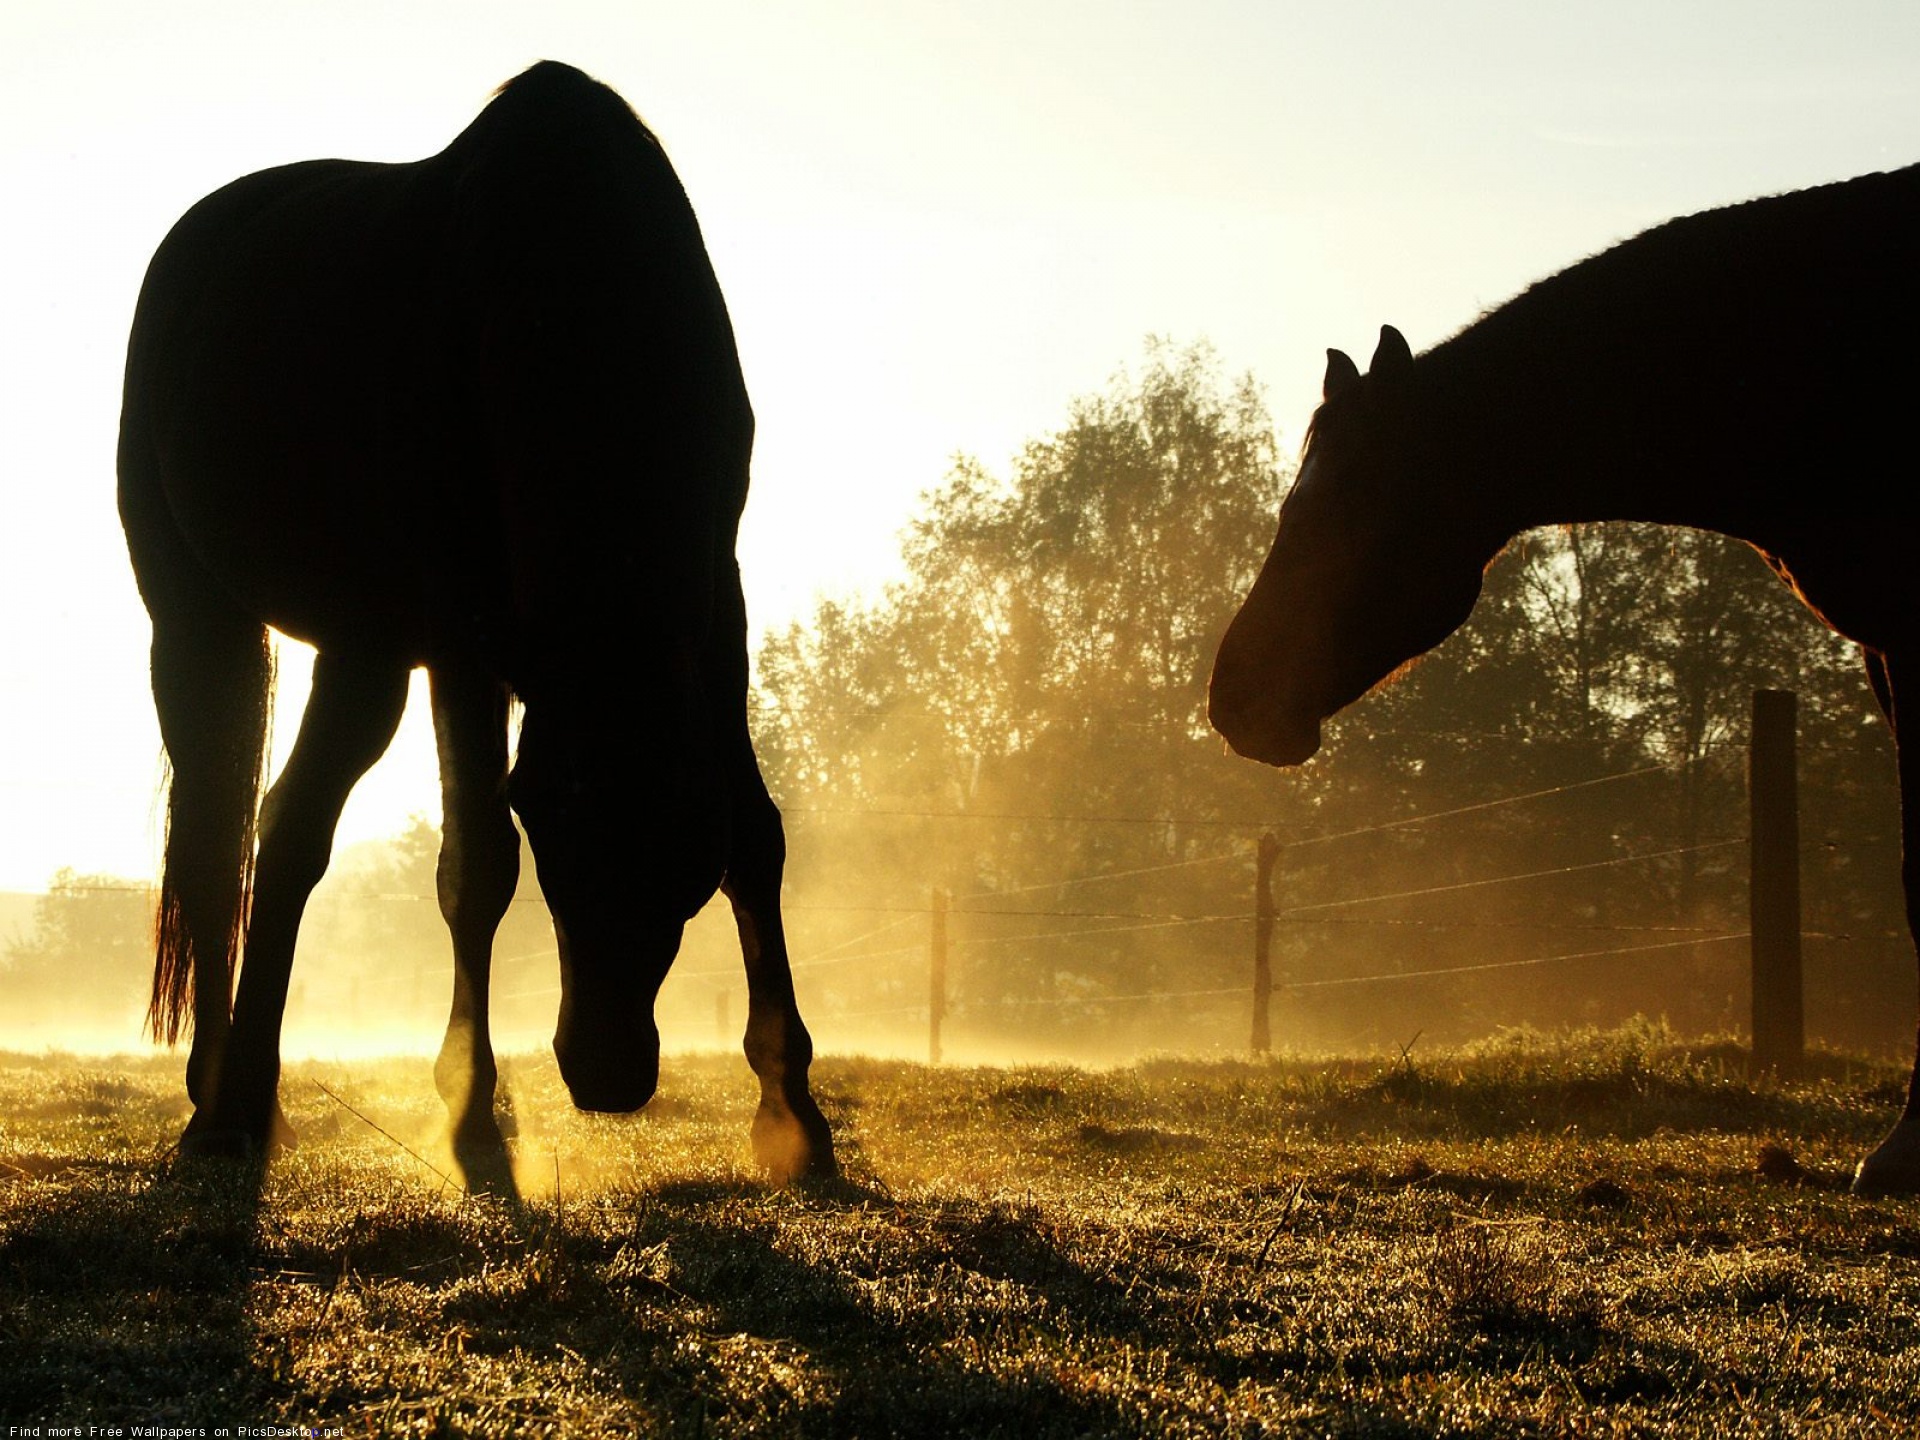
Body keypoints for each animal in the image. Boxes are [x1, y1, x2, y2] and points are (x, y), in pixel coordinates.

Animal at [116, 59, 837, 1182]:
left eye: (682, 858)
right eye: (553, 827)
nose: (608, 1074)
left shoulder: (712, 609)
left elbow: (756, 837)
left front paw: (792, 1111)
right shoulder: (450, 640)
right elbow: (469, 863)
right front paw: (463, 1111)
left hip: (366, 650)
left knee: (273, 829)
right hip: (201, 619)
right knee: (220, 840)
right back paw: (220, 1105)